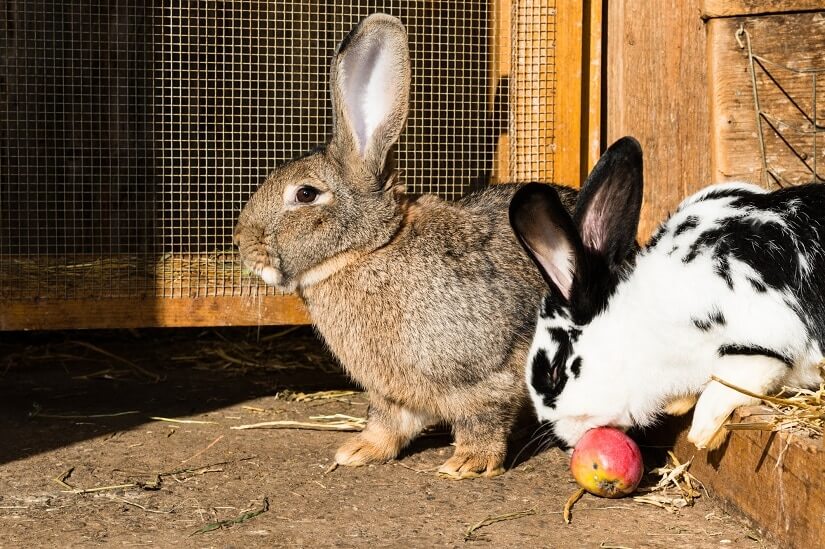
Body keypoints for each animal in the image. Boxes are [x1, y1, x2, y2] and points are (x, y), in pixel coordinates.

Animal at [235, 11, 576, 476]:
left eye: (305, 194)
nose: (242, 244)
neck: (371, 249)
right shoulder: (391, 392)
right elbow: (387, 422)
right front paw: (358, 451)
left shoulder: (487, 375)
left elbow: (483, 419)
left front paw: (467, 464)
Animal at [508, 137, 824, 450]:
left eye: (554, 371)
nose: (562, 442)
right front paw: (678, 407)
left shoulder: (768, 333)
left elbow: (736, 378)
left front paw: (703, 433)